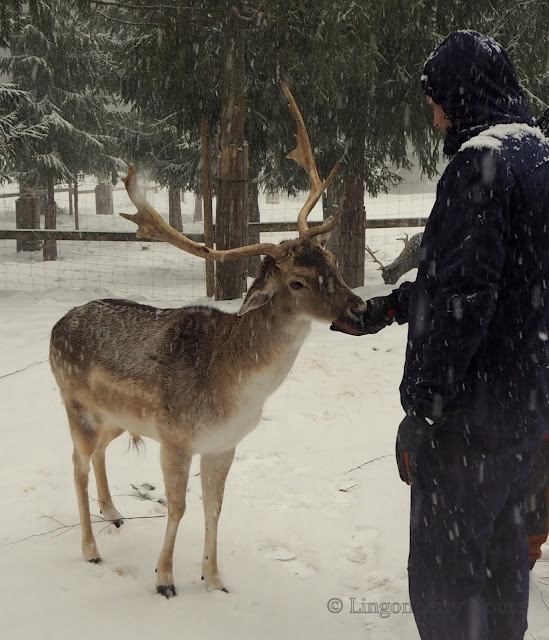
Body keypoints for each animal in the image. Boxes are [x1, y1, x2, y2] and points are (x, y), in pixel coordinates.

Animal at [49, 81, 366, 600]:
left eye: (332, 260)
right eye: (298, 281)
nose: (358, 308)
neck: (235, 388)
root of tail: (55, 328)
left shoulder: (224, 443)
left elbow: (214, 507)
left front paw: (215, 579)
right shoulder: (176, 437)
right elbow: (178, 507)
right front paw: (165, 580)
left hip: (115, 416)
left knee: (96, 455)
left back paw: (114, 512)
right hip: (76, 404)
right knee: (75, 463)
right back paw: (91, 549)